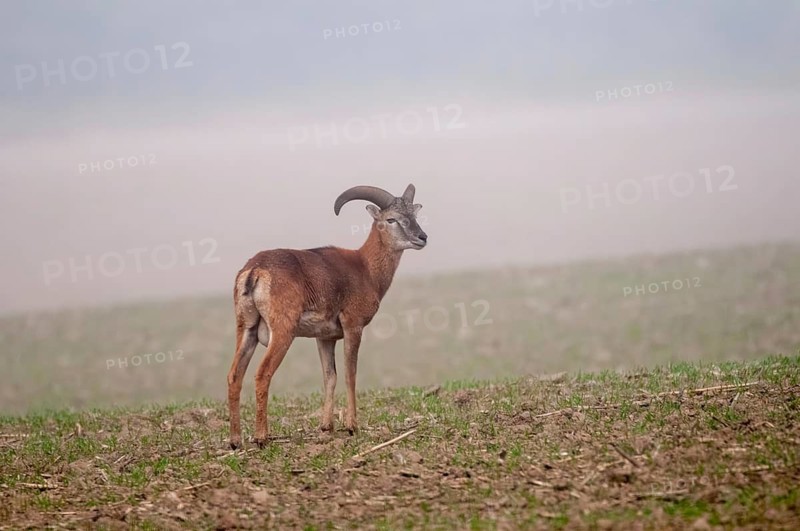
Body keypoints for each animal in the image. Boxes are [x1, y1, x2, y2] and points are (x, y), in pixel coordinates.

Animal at [227, 184, 428, 448]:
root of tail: (255, 271)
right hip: (282, 333)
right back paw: (261, 438)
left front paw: (326, 426)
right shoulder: (353, 327)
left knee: (234, 376)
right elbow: (350, 374)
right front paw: (352, 426)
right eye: (391, 219)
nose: (422, 237)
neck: (365, 269)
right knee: (262, 374)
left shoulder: (325, 338)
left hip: (246, 329)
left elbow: (329, 376)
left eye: (413, 215)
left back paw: (235, 441)